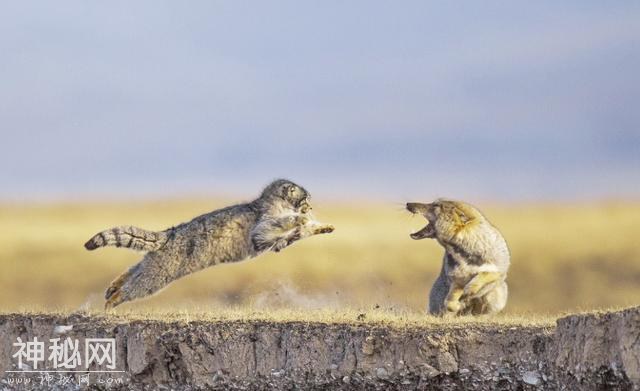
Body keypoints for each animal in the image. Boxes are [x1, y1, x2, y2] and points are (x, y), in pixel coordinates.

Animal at [85, 179, 336, 310]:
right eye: (306, 199)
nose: (310, 207)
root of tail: (168, 234)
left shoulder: (275, 242)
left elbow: (297, 235)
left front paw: (323, 227)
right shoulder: (261, 231)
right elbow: (285, 224)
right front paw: (301, 219)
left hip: (149, 265)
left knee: (130, 271)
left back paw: (113, 287)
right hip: (157, 275)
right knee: (132, 287)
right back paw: (111, 302)